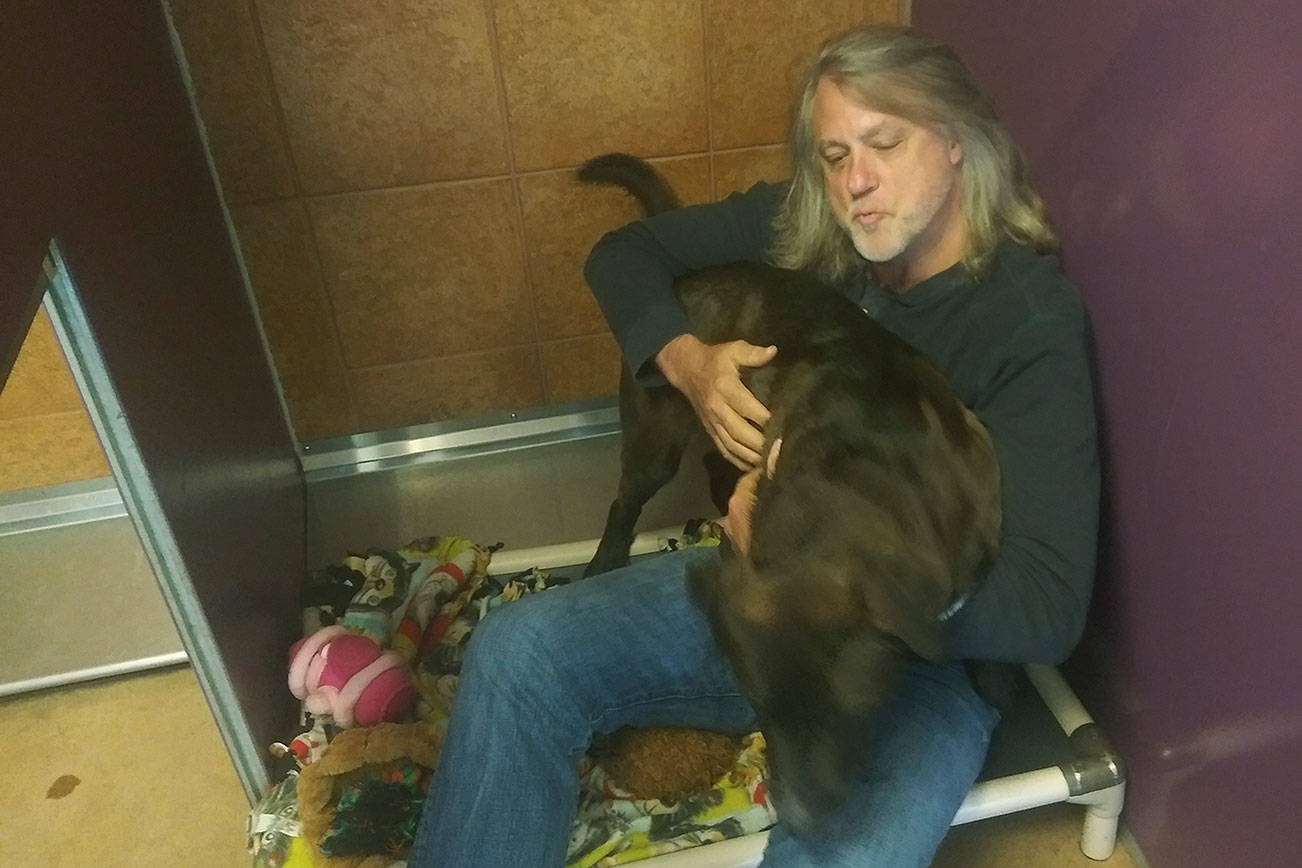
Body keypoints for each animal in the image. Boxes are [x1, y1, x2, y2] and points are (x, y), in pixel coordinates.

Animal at [578, 152, 994, 832]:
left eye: (848, 709)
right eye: (761, 708)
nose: (797, 816)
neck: (850, 493)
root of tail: (692, 273)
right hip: (654, 444)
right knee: (624, 502)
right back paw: (606, 559)